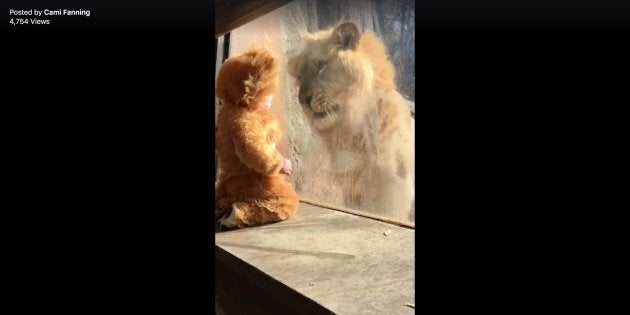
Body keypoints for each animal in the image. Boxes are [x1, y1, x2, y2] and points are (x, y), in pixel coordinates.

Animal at [288, 21, 418, 222]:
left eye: (321, 66)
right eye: (300, 76)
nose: (302, 100)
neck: (350, 132)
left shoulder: (394, 189)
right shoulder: (351, 188)